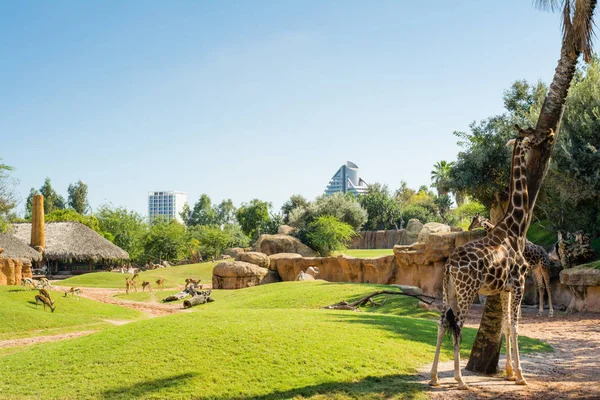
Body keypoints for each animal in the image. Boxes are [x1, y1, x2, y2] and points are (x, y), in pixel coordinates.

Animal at [428, 126, 552, 390]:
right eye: (532, 134)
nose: (549, 131)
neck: (516, 228)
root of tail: (449, 266)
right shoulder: (519, 283)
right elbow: (515, 326)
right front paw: (521, 376)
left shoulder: (505, 288)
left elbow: (505, 326)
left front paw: (510, 373)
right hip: (467, 291)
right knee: (458, 325)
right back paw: (460, 379)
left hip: (448, 290)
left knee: (442, 322)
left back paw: (434, 377)